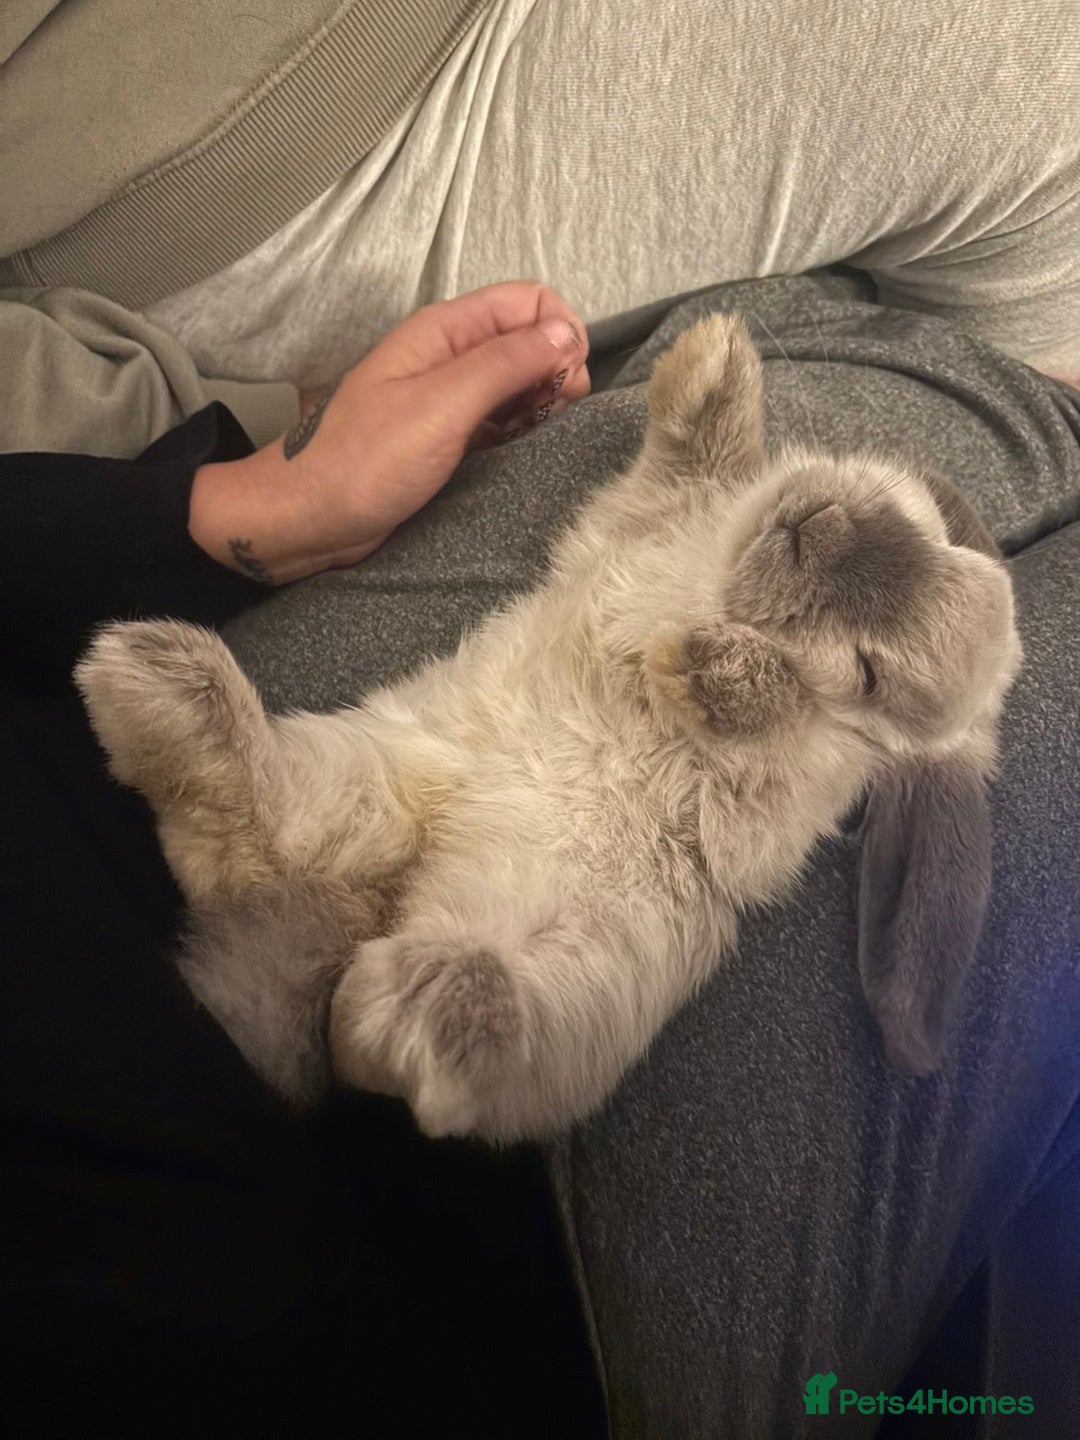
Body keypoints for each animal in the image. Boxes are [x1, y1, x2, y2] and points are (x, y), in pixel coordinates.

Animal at [75, 312, 1023, 1144]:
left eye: (871, 675)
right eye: (929, 532)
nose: (818, 531)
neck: (714, 579)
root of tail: (388, 898)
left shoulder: (773, 809)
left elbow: (764, 734)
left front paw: (707, 666)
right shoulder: (646, 517)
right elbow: (691, 462)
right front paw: (713, 357)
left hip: (584, 972)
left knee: (399, 1041)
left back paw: (425, 1009)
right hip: (374, 770)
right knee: (245, 832)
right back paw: (161, 687)